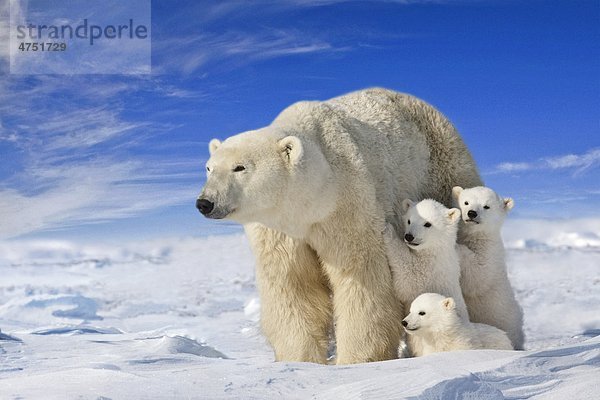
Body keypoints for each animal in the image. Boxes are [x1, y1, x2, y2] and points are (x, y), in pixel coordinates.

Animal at [197, 88, 482, 366]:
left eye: (240, 167)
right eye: (209, 168)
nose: (205, 202)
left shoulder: (347, 205)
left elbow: (361, 278)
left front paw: (355, 360)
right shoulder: (278, 232)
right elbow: (293, 285)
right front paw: (300, 359)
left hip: (442, 169)